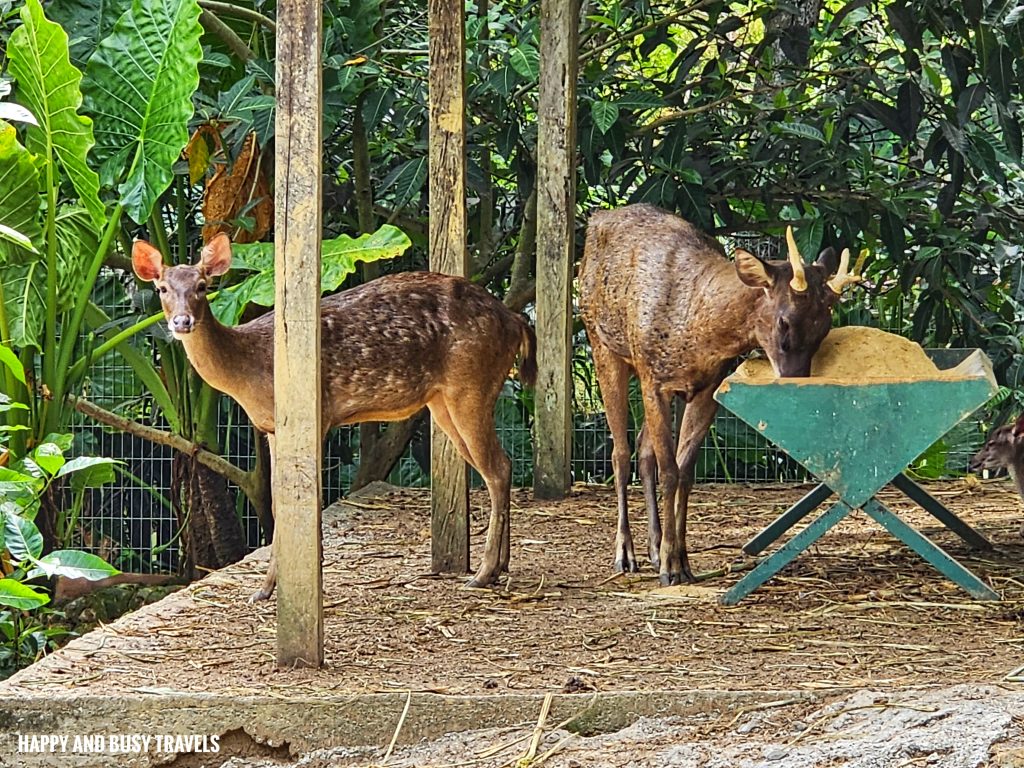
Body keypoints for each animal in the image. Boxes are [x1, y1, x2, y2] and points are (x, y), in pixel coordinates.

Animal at [132, 234, 536, 602]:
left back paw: (483, 573)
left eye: (203, 287)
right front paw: (266, 588)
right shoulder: (271, 428)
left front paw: (285, 584)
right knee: (501, 465)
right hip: (443, 403)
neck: (248, 372)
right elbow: (277, 503)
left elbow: (301, 500)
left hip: (470, 385)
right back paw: (499, 567)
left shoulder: (316, 416)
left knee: (497, 469)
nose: (182, 321)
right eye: (163, 288)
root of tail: (516, 320)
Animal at [581, 201, 860, 585]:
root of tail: (597, 219)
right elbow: (670, 471)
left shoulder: (706, 387)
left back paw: (653, 547)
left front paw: (680, 561)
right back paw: (626, 555)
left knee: (643, 450)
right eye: (784, 321)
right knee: (620, 453)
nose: (795, 383)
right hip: (602, 343)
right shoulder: (653, 379)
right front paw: (669, 568)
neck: (698, 331)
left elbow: (685, 471)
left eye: (825, 328)